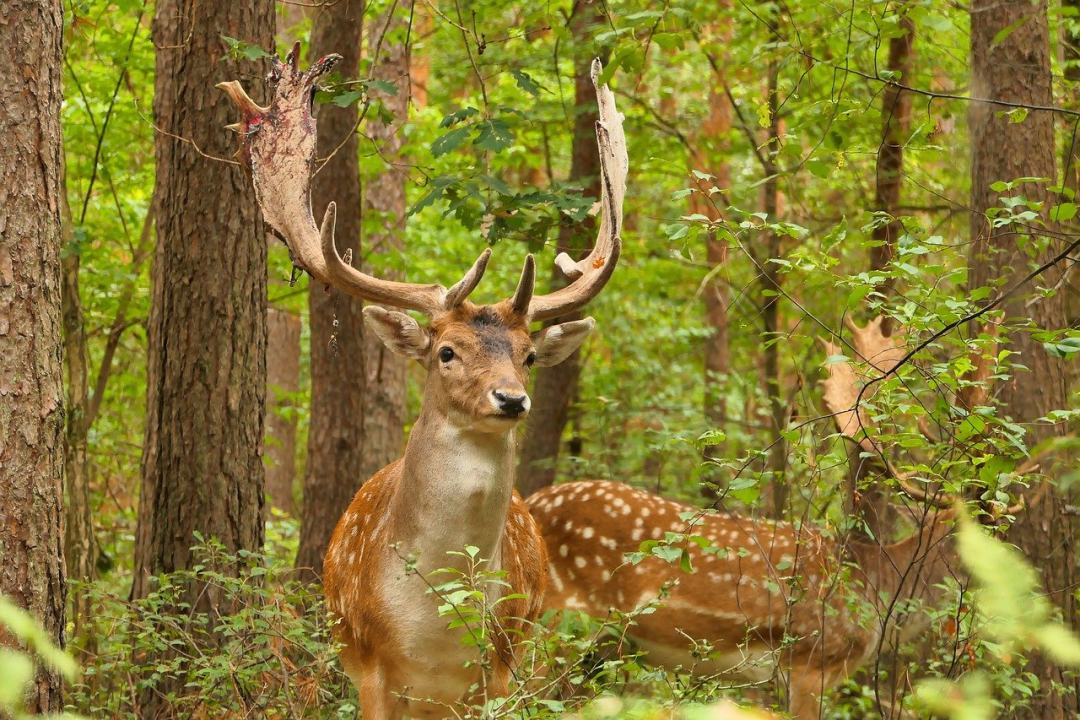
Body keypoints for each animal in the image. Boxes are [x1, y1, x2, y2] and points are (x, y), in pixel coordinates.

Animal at [223, 46, 630, 720]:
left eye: (528, 356)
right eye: (446, 351)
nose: (511, 398)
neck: (435, 624)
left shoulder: (501, 665)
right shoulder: (368, 664)